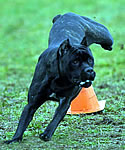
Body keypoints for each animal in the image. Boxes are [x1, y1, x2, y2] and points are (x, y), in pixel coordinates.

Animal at [4, 12, 113, 144]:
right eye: (75, 61)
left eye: (90, 60)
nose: (89, 70)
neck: (60, 79)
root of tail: (67, 14)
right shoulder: (32, 104)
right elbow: (23, 122)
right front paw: (15, 138)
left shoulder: (65, 102)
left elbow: (55, 119)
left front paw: (46, 134)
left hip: (104, 34)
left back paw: (107, 46)